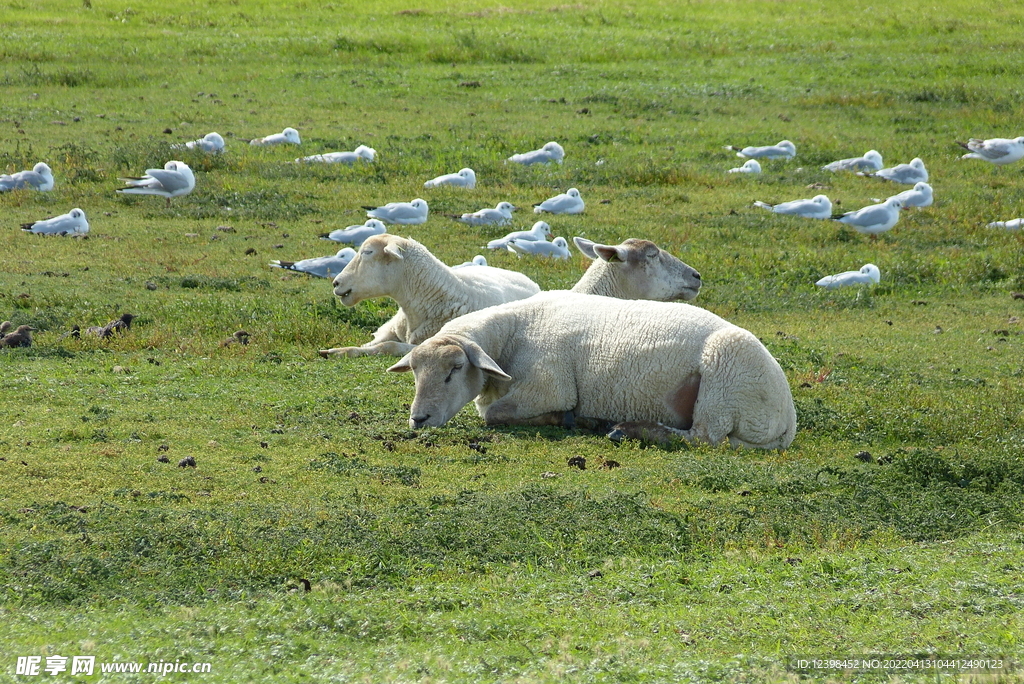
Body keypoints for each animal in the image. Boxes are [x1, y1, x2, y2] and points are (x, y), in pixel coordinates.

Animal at [387, 290, 794, 450]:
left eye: (455, 369)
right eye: (415, 371)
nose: (419, 419)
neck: (515, 330)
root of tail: (787, 417)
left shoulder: (548, 386)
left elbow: (494, 414)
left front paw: (569, 419)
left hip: (723, 377)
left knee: (704, 437)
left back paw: (625, 429)